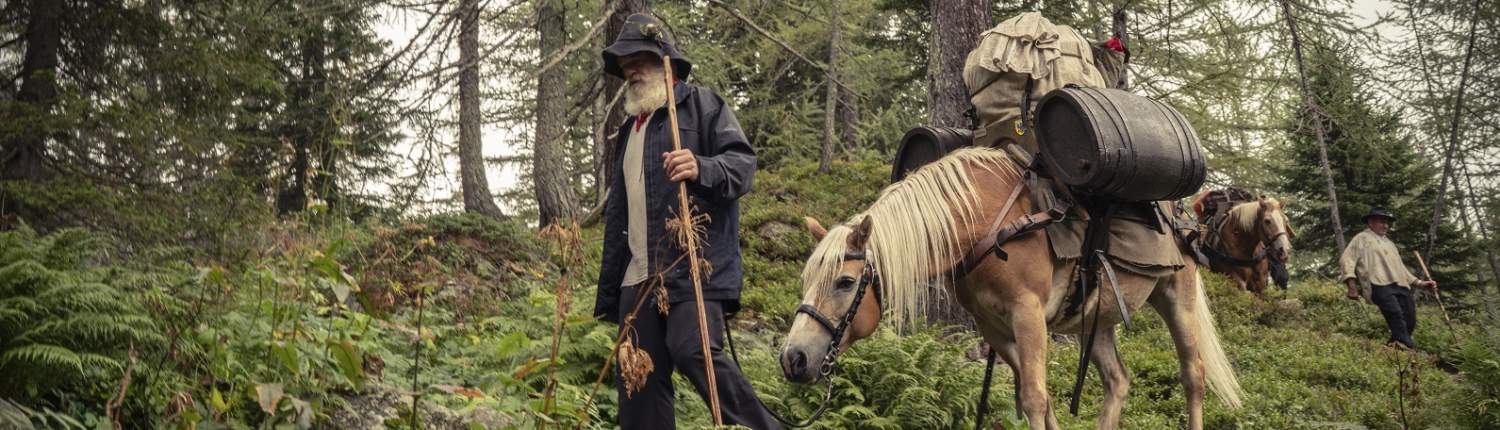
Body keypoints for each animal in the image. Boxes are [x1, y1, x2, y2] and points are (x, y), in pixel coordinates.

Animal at [780, 149, 1236, 430]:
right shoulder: (994, 328)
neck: (983, 222)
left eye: (845, 282)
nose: (793, 358)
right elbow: (1038, 398)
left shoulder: (1028, 314)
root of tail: (1183, 210)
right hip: (1097, 319)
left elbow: (1033, 397)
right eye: (804, 281)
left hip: (1177, 297)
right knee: (1118, 381)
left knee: (1193, 375)